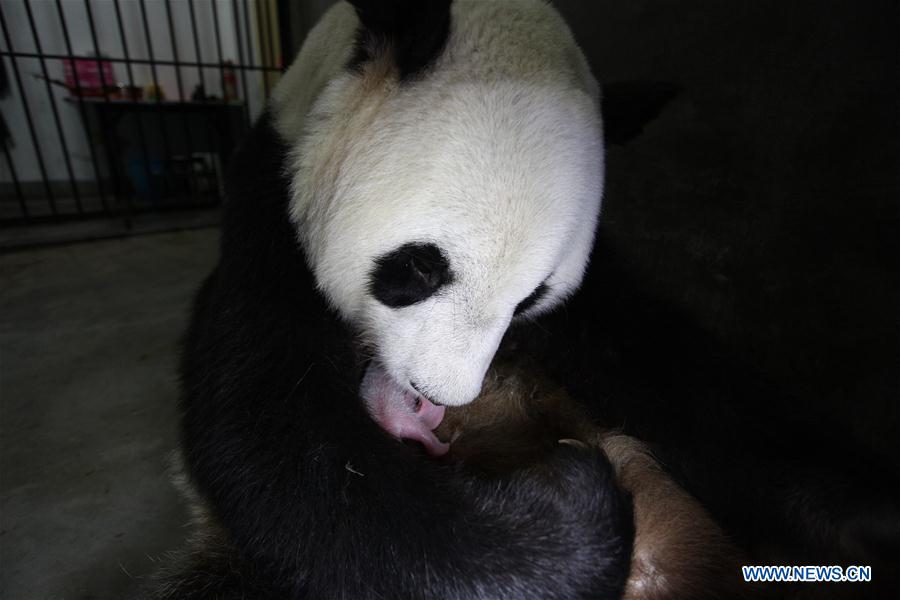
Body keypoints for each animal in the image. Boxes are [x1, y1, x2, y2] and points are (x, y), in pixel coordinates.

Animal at [165, 1, 636, 600]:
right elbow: (275, 440)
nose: (435, 394)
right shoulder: (270, 219)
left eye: (532, 297)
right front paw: (566, 510)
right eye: (421, 266)